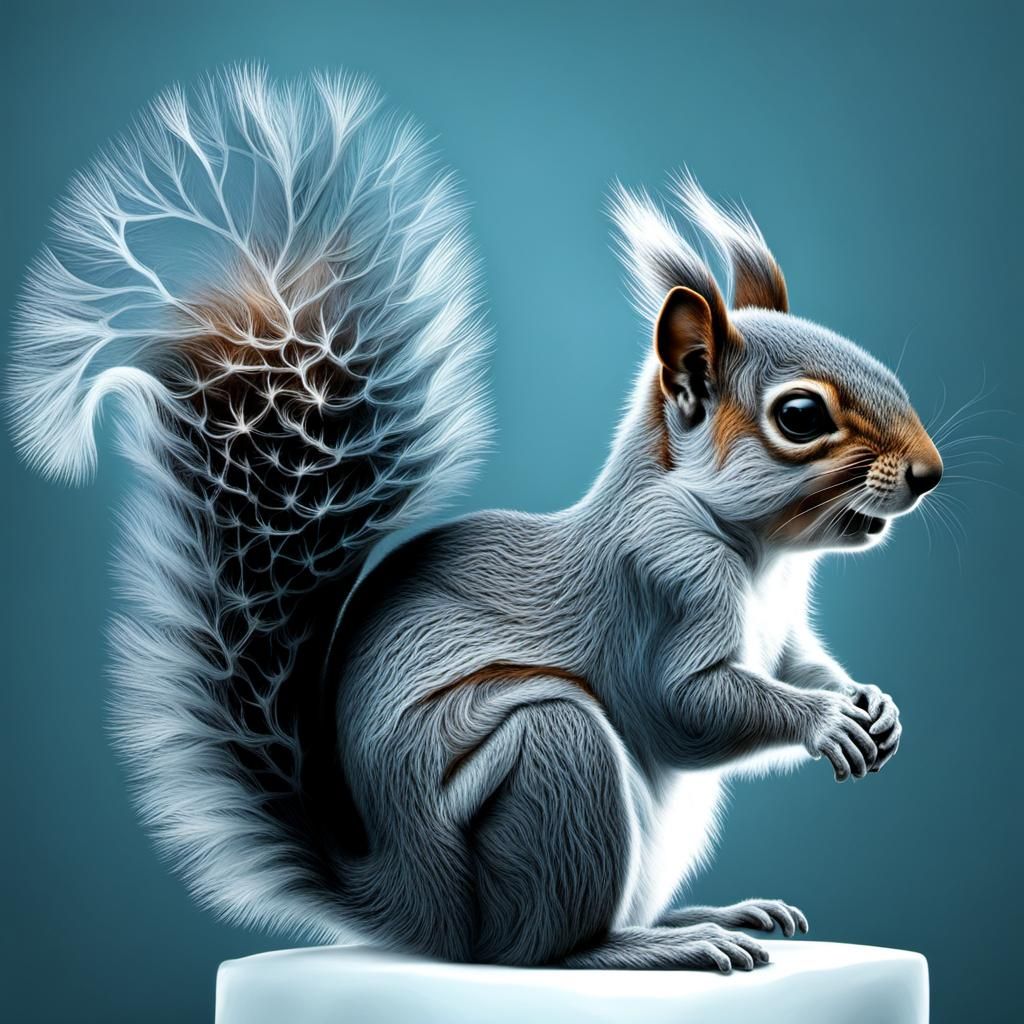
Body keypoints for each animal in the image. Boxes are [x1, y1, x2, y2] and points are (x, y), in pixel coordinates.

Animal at [8, 67, 943, 972]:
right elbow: (685, 703)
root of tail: (417, 911)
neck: (755, 550)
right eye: (799, 416)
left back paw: (710, 911)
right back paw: (653, 946)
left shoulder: (781, 624)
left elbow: (796, 663)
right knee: (544, 949)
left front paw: (868, 702)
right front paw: (824, 721)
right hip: (553, 760)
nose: (930, 474)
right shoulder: (660, 579)